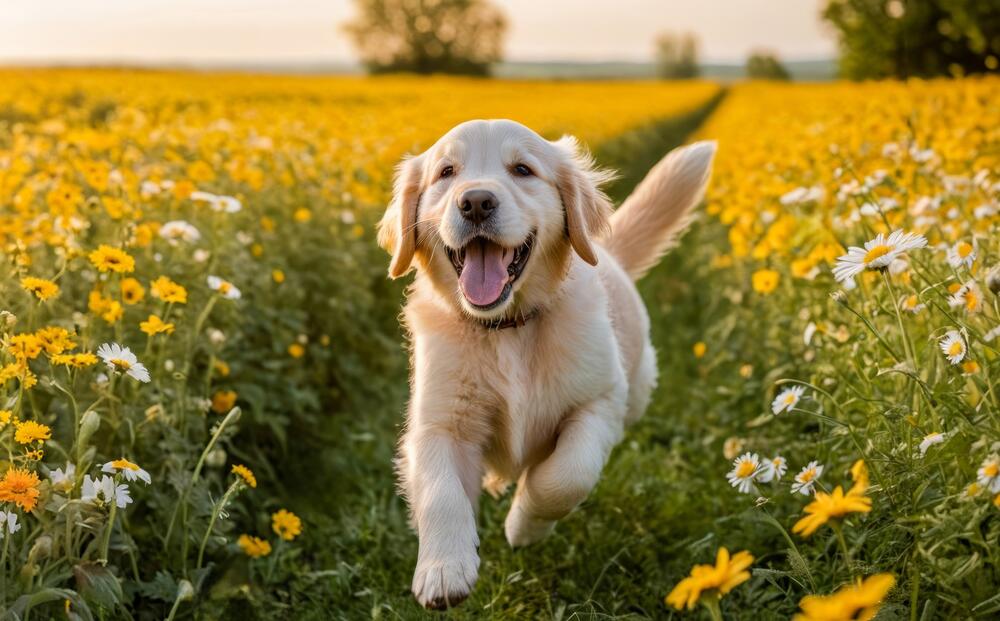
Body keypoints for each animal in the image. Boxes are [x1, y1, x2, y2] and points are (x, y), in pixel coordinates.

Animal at [378, 118, 716, 608]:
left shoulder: (600, 401)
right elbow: (441, 491)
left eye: (522, 169)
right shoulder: (437, 422)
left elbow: (564, 477)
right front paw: (443, 570)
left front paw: (523, 525)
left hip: (637, 390)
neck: (508, 327)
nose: (475, 201)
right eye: (446, 172)